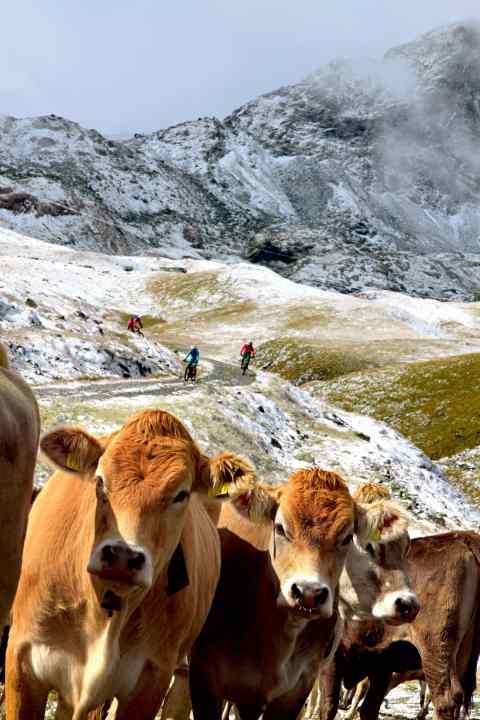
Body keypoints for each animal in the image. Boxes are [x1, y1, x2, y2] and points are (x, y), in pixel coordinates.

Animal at [314, 530, 480, 720]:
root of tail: (466, 539)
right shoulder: (382, 666)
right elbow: (368, 708)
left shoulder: (332, 658)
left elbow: (328, 705)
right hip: (460, 656)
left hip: (436, 650)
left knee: (445, 699)